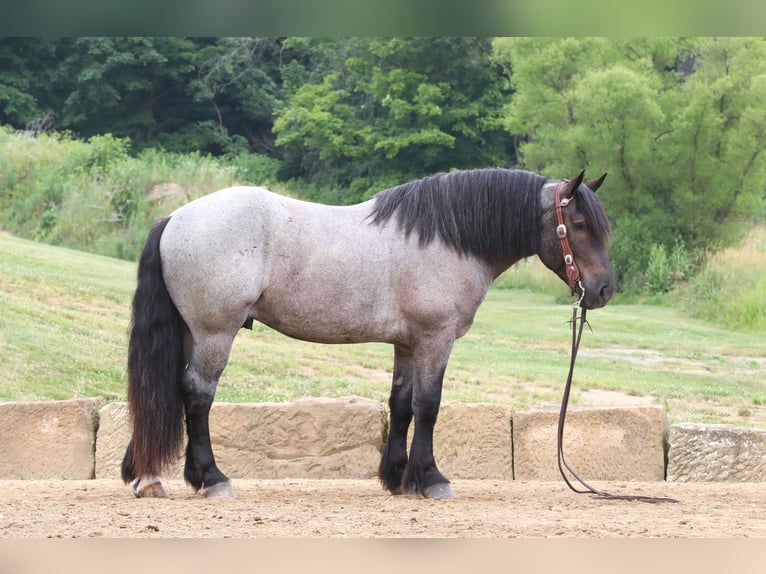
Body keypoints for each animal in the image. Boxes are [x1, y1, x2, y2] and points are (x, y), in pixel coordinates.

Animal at [123, 166, 616, 500]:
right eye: (578, 225)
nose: (604, 290)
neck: (447, 239)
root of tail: (175, 218)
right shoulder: (435, 339)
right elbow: (428, 406)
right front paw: (431, 478)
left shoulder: (407, 344)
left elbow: (400, 405)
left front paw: (397, 478)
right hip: (214, 333)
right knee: (197, 395)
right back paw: (211, 478)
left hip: (191, 333)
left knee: (170, 391)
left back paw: (150, 476)